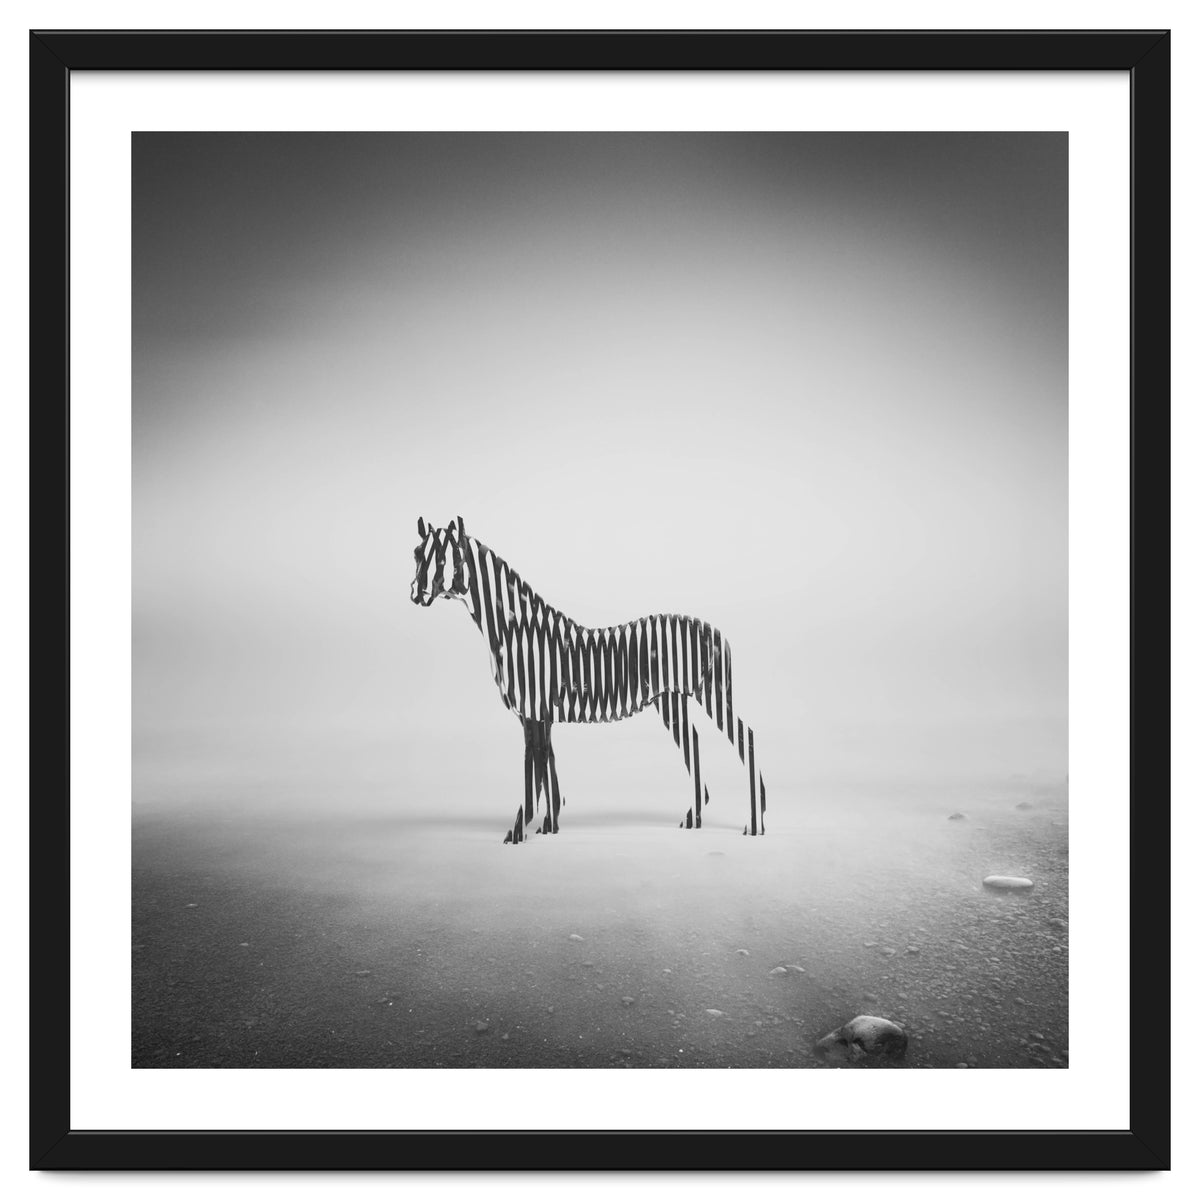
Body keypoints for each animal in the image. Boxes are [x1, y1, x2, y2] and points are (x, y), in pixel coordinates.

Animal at [410, 516, 766, 844]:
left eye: (444, 559)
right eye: (416, 553)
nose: (416, 594)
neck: (518, 632)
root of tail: (716, 631)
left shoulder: (533, 711)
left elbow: (533, 774)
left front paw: (518, 831)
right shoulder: (540, 714)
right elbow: (547, 769)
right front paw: (549, 826)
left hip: (711, 694)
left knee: (745, 737)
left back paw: (755, 823)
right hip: (671, 700)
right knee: (694, 742)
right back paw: (694, 818)